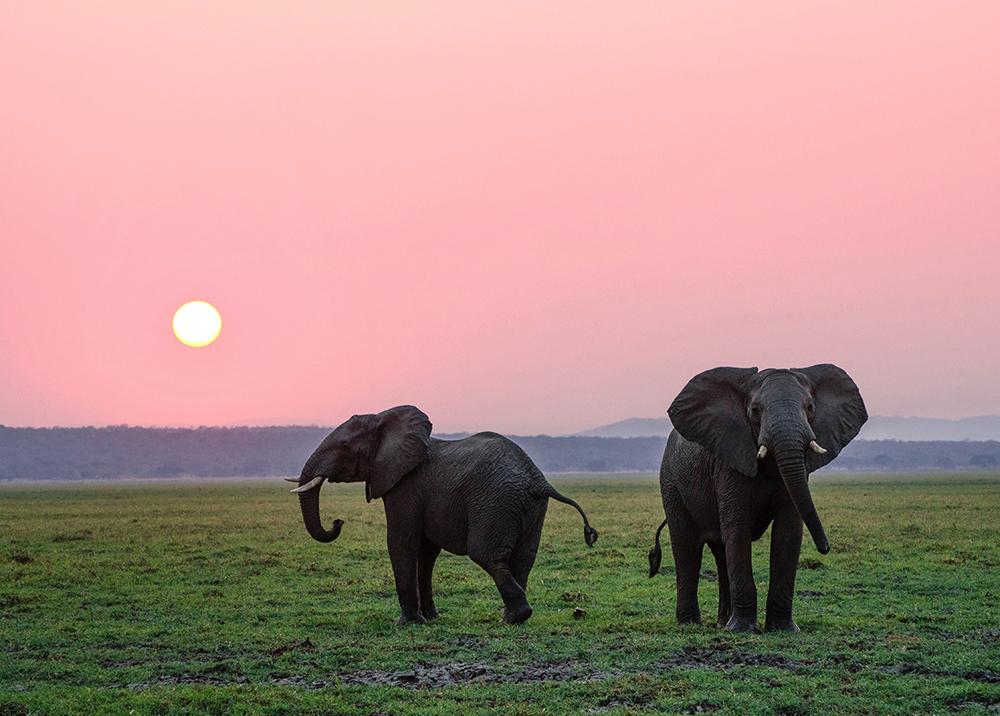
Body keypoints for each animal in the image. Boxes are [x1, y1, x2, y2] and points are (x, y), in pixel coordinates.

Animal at [290, 406, 600, 624]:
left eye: (345, 448)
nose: (337, 522)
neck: (384, 418)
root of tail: (538, 479)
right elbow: (426, 553)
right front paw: (431, 618)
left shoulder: (405, 486)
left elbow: (401, 542)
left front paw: (407, 623)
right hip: (531, 507)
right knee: (523, 560)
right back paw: (512, 618)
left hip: (495, 503)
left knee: (486, 555)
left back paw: (514, 617)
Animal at [648, 364, 868, 632]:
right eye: (754, 411)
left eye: (810, 408)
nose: (825, 548)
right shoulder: (729, 460)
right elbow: (738, 529)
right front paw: (743, 630)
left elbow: (788, 532)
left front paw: (783, 629)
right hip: (671, 483)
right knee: (687, 548)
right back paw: (691, 624)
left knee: (721, 553)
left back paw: (721, 624)